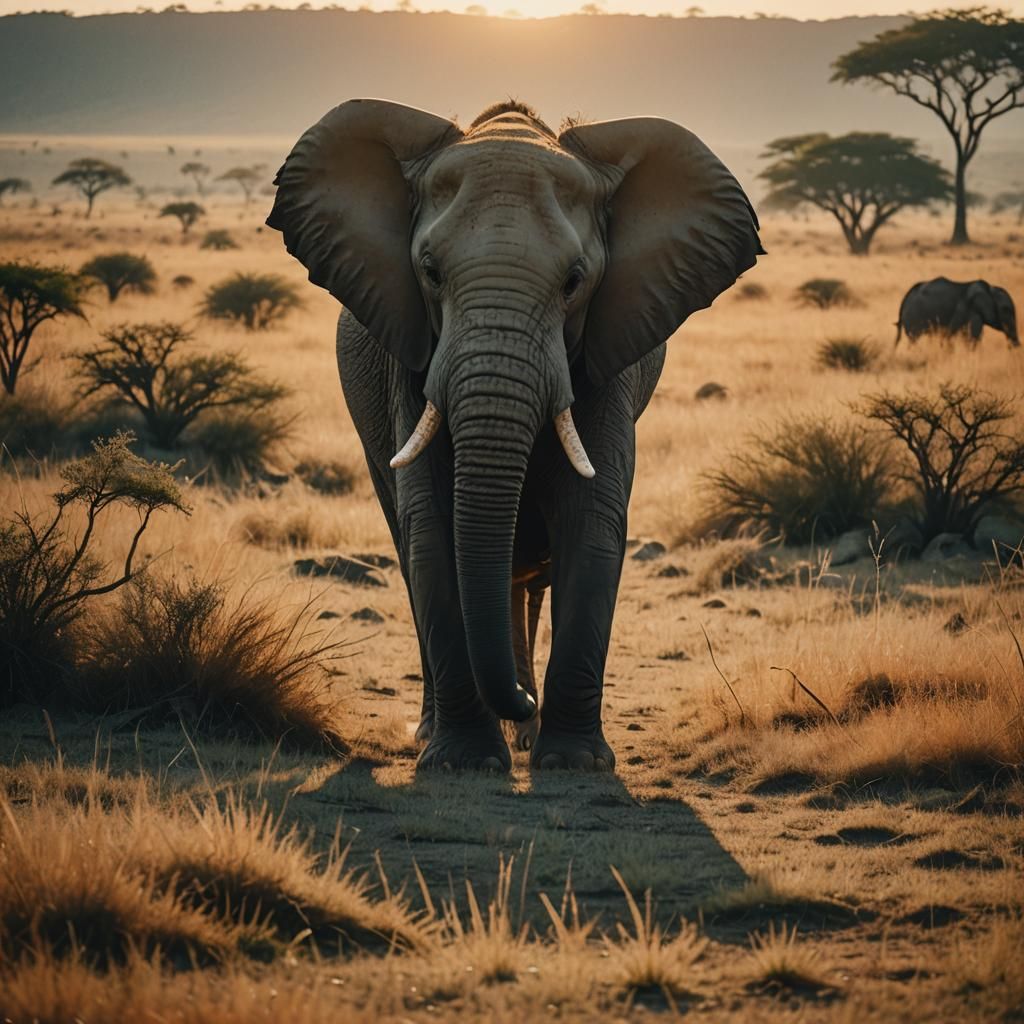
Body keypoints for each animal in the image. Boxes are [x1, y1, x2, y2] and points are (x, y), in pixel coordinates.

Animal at [267, 99, 762, 773]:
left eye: (575, 281)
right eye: (429, 272)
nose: (522, 700)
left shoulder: (607, 356)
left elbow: (591, 523)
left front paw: (574, 762)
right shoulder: (412, 362)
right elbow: (433, 533)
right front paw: (462, 762)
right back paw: (444, 729)